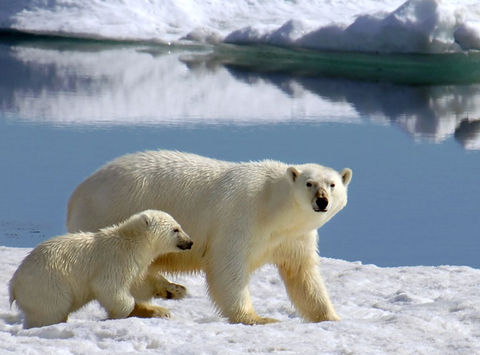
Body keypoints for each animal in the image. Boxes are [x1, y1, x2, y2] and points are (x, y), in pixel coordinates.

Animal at [8, 210, 192, 330]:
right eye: (176, 229)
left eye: (179, 226)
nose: (190, 242)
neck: (131, 242)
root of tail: (13, 285)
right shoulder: (115, 260)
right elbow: (108, 287)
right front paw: (124, 312)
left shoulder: (134, 264)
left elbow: (140, 283)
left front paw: (175, 291)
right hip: (47, 286)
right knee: (49, 312)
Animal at [66, 150, 352, 326]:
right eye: (309, 183)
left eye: (332, 184)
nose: (322, 201)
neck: (273, 207)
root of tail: (76, 195)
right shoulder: (241, 216)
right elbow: (227, 266)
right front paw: (257, 318)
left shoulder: (294, 237)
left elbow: (303, 275)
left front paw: (332, 317)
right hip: (109, 215)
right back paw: (157, 301)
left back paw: (167, 293)